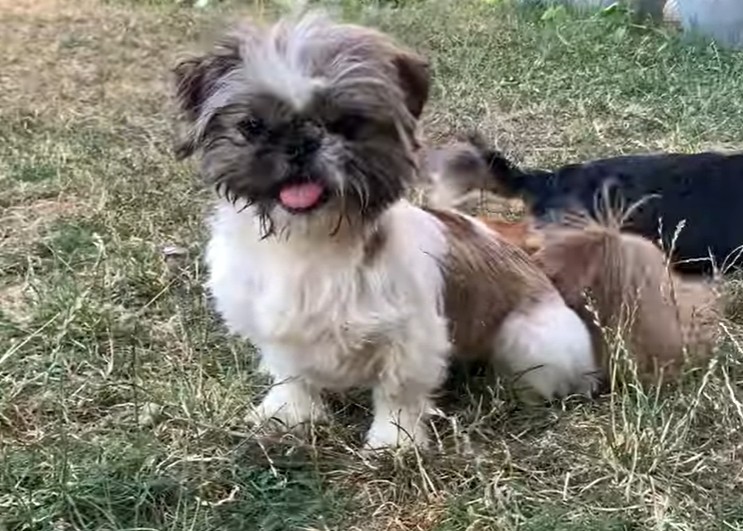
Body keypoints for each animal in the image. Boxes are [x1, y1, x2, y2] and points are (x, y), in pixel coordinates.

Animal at [172, 12, 598, 450]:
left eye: (347, 123)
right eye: (252, 126)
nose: (300, 143)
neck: (309, 240)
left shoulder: (410, 336)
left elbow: (398, 391)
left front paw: (393, 441)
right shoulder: (274, 325)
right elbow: (291, 375)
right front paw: (288, 414)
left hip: (530, 338)